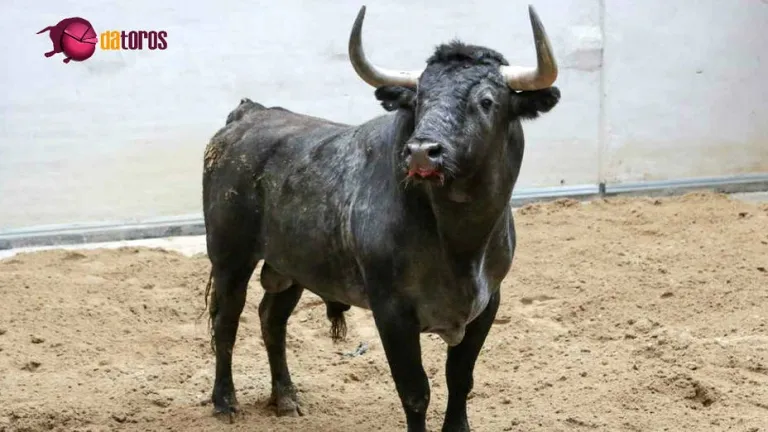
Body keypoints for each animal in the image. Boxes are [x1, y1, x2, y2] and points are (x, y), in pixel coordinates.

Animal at [201, 5, 561, 431]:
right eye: (419, 99)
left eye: (487, 101)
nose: (422, 152)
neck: (459, 242)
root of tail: (247, 115)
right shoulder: (392, 312)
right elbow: (415, 391)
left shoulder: (488, 303)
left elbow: (460, 379)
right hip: (230, 257)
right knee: (226, 321)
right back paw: (225, 401)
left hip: (290, 266)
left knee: (271, 319)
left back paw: (286, 397)